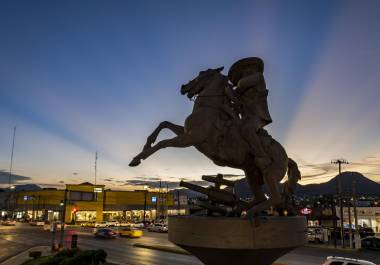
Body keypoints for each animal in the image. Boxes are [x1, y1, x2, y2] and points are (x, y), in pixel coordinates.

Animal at [131, 67, 300, 213]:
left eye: (201, 73)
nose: (184, 87)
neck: (208, 108)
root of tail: (287, 157)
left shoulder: (191, 138)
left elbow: (164, 143)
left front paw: (138, 159)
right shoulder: (186, 133)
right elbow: (164, 124)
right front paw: (146, 144)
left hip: (269, 174)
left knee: (275, 198)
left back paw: (249, 212)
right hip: (251, 173)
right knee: (260, 197)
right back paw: (238, 210)